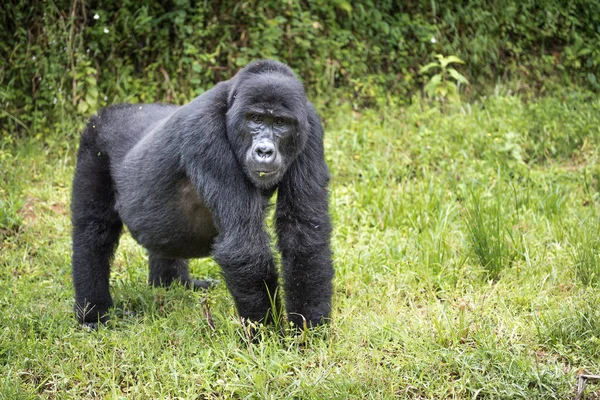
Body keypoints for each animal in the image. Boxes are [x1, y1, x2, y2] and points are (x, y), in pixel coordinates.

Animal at [71, 59, 332, 328]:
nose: (264, 151)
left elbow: (302, 233)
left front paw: (309, 328)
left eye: (280, 123)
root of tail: (112, 111)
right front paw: (264, 333)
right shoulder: (205, 133)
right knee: (94, 230)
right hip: (94, 140)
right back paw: (94, 313)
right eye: (256, 118)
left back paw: (173, 283)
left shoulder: (311, 127)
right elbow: (243, 246)